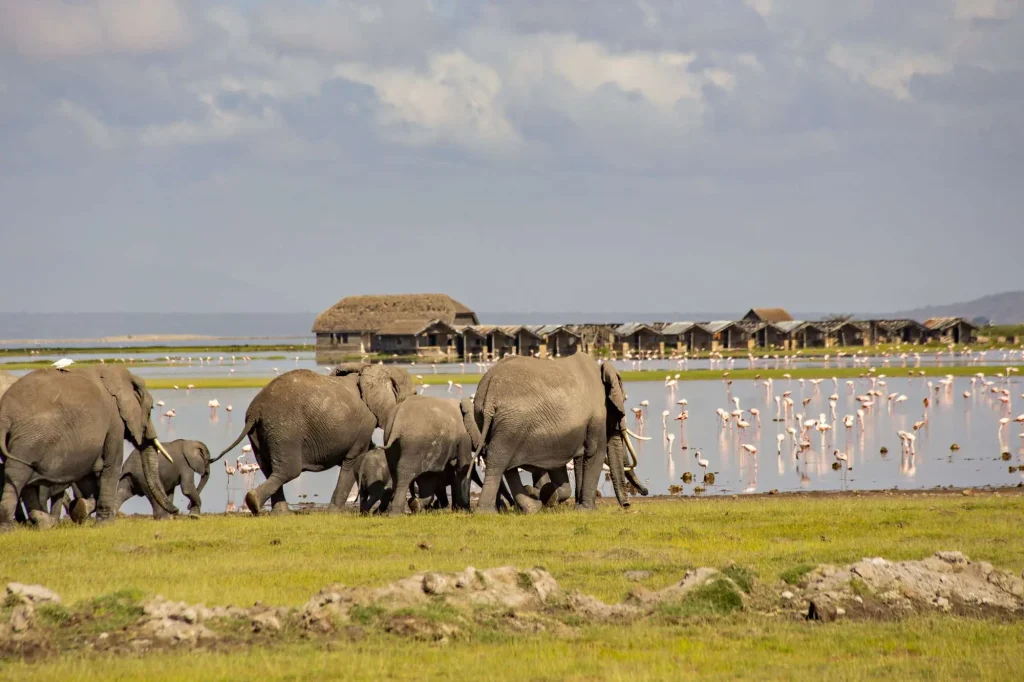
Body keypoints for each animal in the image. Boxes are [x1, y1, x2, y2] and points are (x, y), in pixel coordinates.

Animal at [0, 365, 176, 526]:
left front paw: (81, 509)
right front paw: (105, 524)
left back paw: (43, 522)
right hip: (28, 441)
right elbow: (112, 466)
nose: (176, 510)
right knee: (17, 476)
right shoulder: (114, 421)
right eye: (150, 410)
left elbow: (87, 476)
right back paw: (11, 527)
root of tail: (5, 416)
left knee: (21, 480)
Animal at [214, 364, 415, 516]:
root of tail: (256, 410)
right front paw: (336, 512)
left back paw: (276, 512)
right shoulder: (365, 423)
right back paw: (256, 503)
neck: (375, 370)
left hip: (260, 434)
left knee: (268, 468)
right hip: (285, 431)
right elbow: (354, 460)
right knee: (288, 471)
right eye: (413, 395)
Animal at [472, 353, 645, 513]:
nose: (627, 505)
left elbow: (579, 457)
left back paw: (531, 507)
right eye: (623, 400)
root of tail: (489, 394)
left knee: (505, 465)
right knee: (498, 461)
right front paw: (587, 510)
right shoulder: (597, 413)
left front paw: (559, 499)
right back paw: (486, 512)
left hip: (488, 420)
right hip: (511, 424)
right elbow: (595, 451)